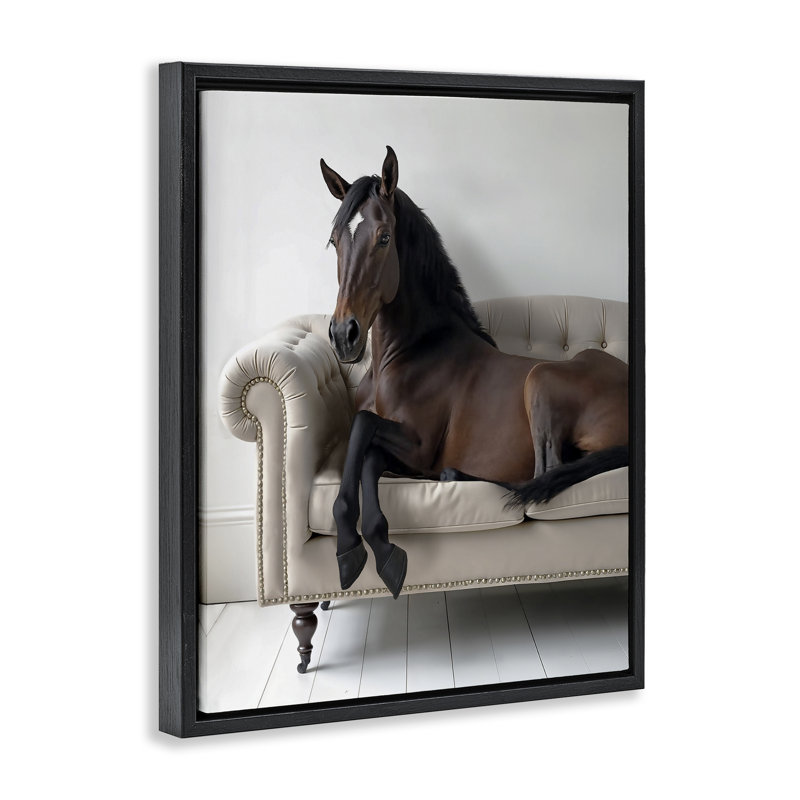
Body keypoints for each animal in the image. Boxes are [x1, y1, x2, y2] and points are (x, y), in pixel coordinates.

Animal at [320, 146, 628, 599]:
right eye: (334, 240)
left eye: (384, 237)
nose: (344, 335)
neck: (411, 352)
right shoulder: (404, 453)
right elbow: (367, 453)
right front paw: (367, 541)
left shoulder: (418, 446)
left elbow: (362, 429)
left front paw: (361, 546)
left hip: (540, 379)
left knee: (543, 476)